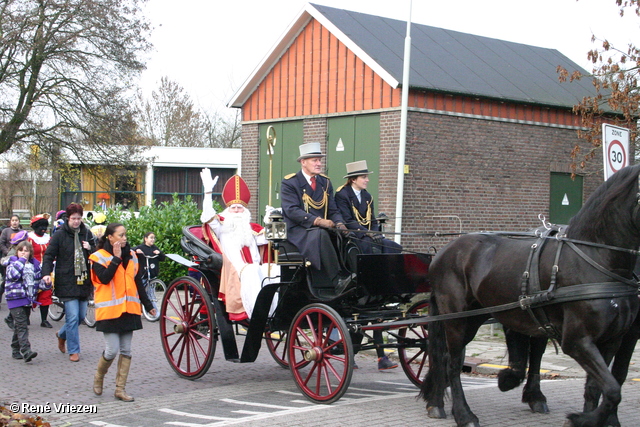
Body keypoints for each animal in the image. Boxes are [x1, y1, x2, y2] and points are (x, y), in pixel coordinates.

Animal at [420, 165, 640, 427]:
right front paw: (579, 418)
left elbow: (600, 388)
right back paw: (464, 415)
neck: (595, 259)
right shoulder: (578, 340)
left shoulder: (612, 340)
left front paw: (588, 418)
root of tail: (441, 253)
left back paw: (437, 404)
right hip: (456, 318)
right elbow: (613, 389)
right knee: (451, 363)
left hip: (475, 316)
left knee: (443, 358)